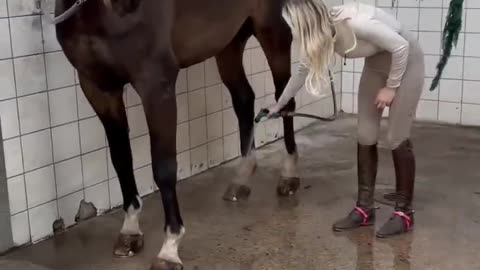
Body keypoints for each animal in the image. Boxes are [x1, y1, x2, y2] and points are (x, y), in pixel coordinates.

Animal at [54, 0, 298, 268]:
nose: (128, 5)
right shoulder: (98, 88)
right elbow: (121, 160)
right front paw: (130, 230)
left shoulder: (156, 87)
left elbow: (163, 168)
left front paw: (169, 248)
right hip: (229, 43)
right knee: (244, 99)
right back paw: (241, 178)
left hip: (272, 31)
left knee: (285, 101)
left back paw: (289, 174)